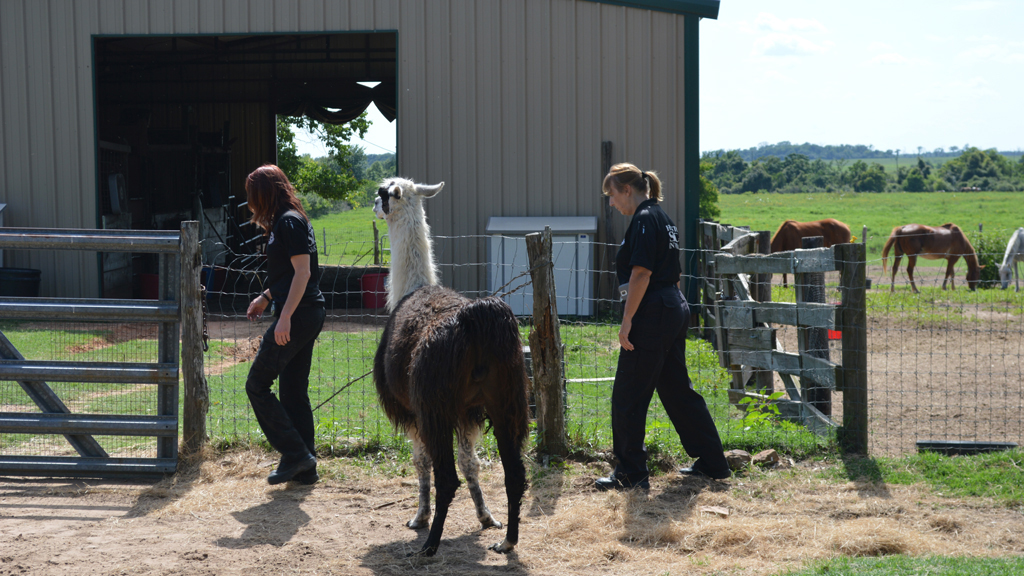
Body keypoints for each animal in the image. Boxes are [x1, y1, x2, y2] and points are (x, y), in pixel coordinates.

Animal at [372, 177, 528, 553]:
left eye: (383, 192)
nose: (373, 204)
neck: (411, 288)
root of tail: (476, 317)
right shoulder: (468, 413)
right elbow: (471, 463)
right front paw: (486, 516)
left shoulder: (413, 410)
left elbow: (421, 462)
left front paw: (419, 517)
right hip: (507, 398)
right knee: (515, 474)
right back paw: (507, 541)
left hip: (435, 405)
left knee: (446, 478)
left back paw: (429, 545)